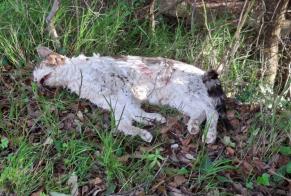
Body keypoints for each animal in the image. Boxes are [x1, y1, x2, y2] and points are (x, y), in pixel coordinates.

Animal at [33, 46, 230, 143]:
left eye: (41, 67)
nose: (34, 80)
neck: (75, 79)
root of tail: (203, 73)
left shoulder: (121, 88)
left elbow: (132, 113)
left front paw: (148, 121)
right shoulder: (115, 102)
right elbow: (128, 121)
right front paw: (148, 124)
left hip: (188, 91)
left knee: (212, 111)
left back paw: (209, 135)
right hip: (180, 100)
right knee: (201, 112)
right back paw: (193, 126)